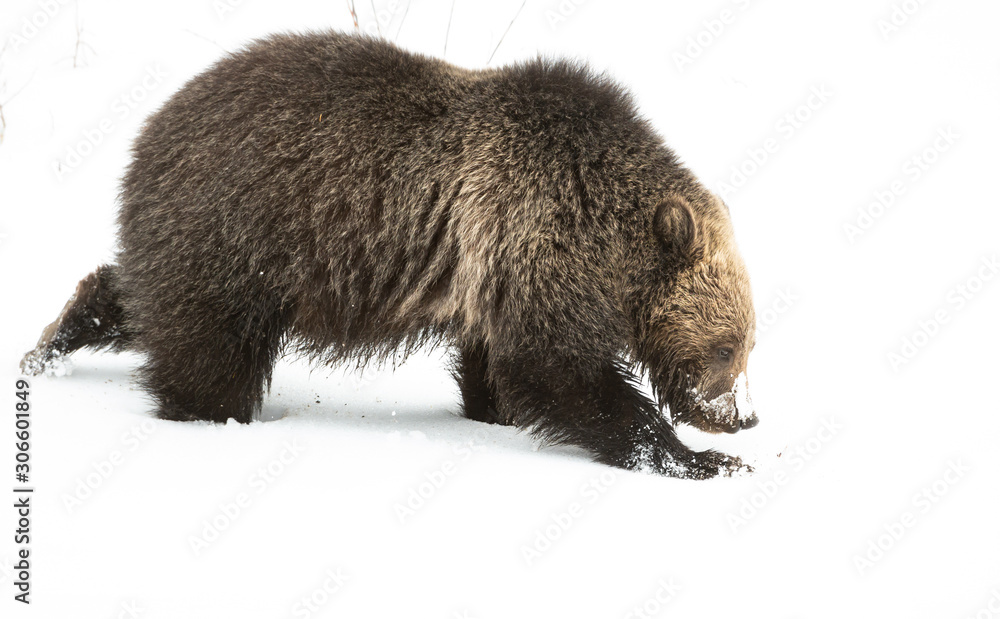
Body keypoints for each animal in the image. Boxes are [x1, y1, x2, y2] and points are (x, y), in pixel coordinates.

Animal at [20, 31, 758, 479]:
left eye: (747, 345)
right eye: (727, 346)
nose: (739, 415)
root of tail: (149, 129)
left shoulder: (495, 269)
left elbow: (499, 368)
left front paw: (496, 411)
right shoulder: (536, 234)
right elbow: (561, 371)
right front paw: (698, 458)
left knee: (142, 298)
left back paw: (52, 342)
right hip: (241, 231)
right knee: (207, 353)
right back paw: (203, 413)